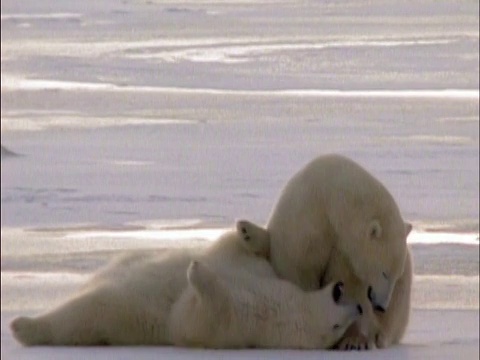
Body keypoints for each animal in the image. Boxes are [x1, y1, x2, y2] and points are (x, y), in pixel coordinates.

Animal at [10, 221, 360, 348]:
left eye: (338, 328)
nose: (358, 304)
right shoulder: (262, 275)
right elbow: (242, 252)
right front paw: (247, 231)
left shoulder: (241, 323)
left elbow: (193, 317)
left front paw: (197, 273)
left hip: (114, 315)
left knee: (81, 315)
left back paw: (22, 325)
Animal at [266, 154, 412, 348]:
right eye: (384, 272)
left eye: (396, 274)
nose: (381, 306)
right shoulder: (304, 229)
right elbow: (301, 273)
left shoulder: (346, 252)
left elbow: (349, 287)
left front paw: (354, 340)